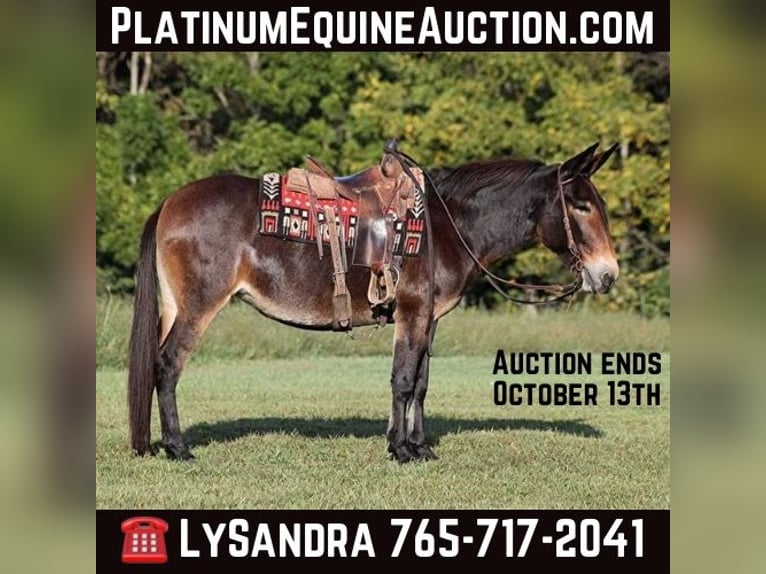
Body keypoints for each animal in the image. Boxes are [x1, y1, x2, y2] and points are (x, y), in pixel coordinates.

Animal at [127, 141, 620, 463]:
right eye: (580, 206)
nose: (608, 274)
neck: (447, 225)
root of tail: (169, 202)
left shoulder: (429, 318)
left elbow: (420, 382)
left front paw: (418, 446)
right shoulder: (412, 312)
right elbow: (402, 380)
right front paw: (401, 450)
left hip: (173, 306)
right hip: (199, 306)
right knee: (167, 365)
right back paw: (177, 447)